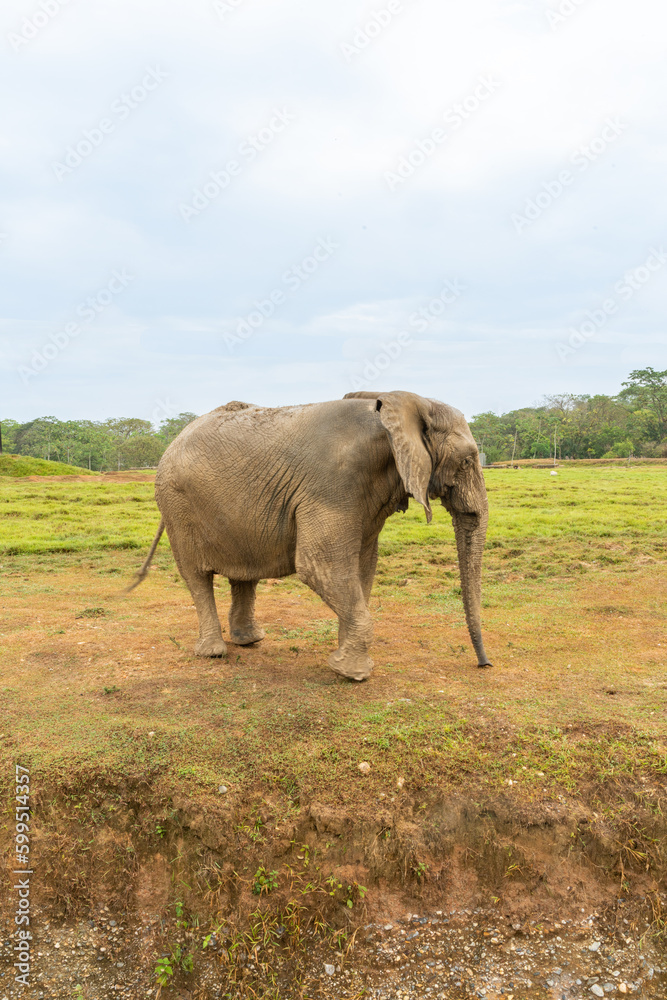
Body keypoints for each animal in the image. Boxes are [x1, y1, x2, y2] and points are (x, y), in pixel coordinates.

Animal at [128, 391, 492, 680]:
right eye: (467, 461)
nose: (484, 665)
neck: (400, 409)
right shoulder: (333, 486)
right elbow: (320, 566)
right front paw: (353, 673)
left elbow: (362, 568)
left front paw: (345, 659)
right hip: (177, 506)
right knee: (196, 577)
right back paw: (213, 652)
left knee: (243, 574)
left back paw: (250, 640)